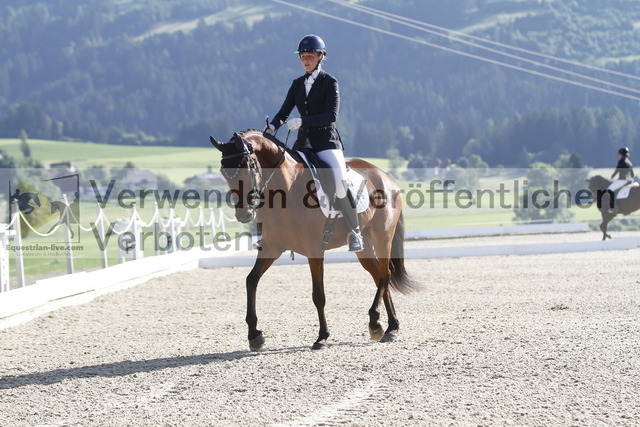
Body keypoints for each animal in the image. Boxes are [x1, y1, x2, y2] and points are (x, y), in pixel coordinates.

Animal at [210, 130, 421, 351]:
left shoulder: (314, 250)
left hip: (382, 235)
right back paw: (390, 327)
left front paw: (322, 337)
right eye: (223, 173)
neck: (287, 189)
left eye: (247, 168)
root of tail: (386, 176)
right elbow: (251, 280)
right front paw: (254, 335)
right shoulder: (271, 248)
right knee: (378, 274)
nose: (244, 215)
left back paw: (376, 323)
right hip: (364, 245)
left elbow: (318, 295)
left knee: (385, 274)